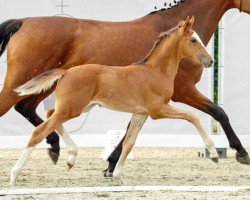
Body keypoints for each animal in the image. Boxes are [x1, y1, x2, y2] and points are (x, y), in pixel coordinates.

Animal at [11, 18, 215, 185]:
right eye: (193, 40)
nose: (210, 61)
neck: (155, 71)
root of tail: (66, 72)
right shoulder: (158, 110)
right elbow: (192, 116)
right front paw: (212, 153)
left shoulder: (140, 113)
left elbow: (129, 142)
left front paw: (117, 175)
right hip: (72, 109)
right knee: (39, 131)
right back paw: (15, 174)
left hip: (78, 108)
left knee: (49, 116)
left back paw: (71, 157)